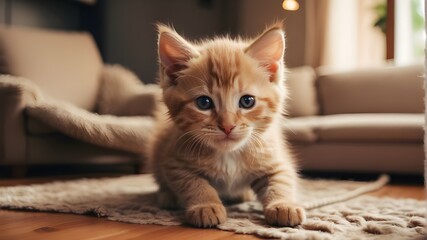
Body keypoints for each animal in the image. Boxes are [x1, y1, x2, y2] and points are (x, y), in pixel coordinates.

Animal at [149, 23, 306, 229]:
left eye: (247, 101)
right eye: (204, 103)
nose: (227, 126)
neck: (229, 155)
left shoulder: (274, 157)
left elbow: (281, 180)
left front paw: (284, 205)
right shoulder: (174, 161)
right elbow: (193, 183)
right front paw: (205, 206)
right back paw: (167, 197)